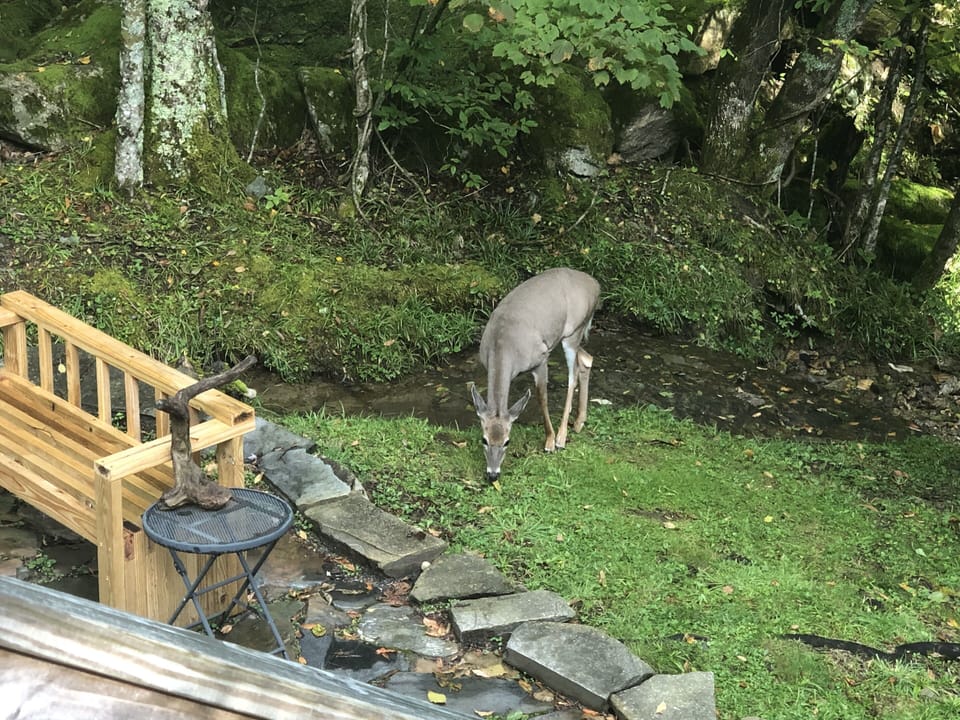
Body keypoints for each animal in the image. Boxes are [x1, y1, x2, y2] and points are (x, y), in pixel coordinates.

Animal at [470, 267, 600, 482]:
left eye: (507, 441)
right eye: (484, 439)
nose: (493, 474)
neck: (503, 344)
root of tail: (596, 286)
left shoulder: (541, 357)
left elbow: (542, 397)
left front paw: (549, 442)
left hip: (573, 332)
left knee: (572, 376)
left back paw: (562, 437)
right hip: (572, 336)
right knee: (586, 359)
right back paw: (579, 422)